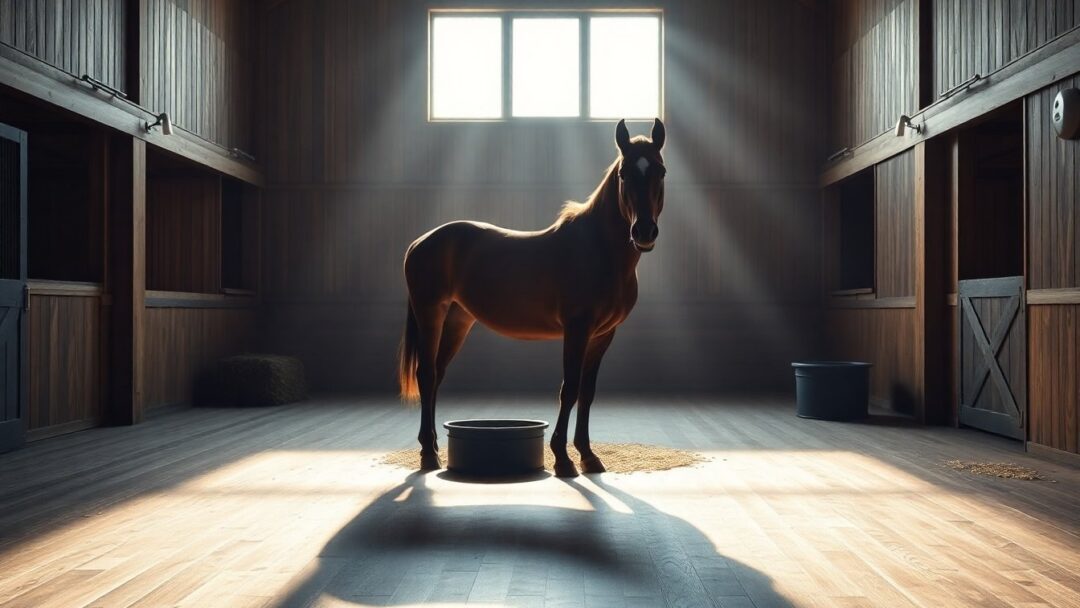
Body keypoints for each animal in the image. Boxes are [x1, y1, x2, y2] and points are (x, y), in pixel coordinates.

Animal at [397, 118, 667, 478]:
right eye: (624, 174)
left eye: (660, 171)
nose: (644, 233)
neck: (598, 249)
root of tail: (420, 242)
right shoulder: (577, 329)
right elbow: (569, 389)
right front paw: (563, 458)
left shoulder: (603, 335)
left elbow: (587, 393)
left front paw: (588, 455)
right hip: (431, 314)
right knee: (426, 375)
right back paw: (428, 454)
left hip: (457, 320)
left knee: (437, 374)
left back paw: (434, 447)